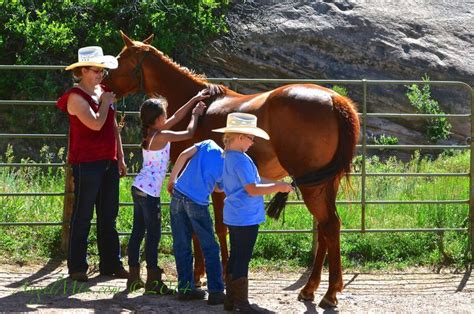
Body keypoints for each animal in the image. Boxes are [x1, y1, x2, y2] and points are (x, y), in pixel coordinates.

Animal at [104, 31, 360, 306]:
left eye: (119, 60)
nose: (104, 86)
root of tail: (334, 100)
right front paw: (206, 274)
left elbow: (213, 228)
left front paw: (213, 275)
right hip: (324, 184)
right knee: (325, 229)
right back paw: (310, 289)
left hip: (314, 187)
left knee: (329, 226)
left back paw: (330, 293)